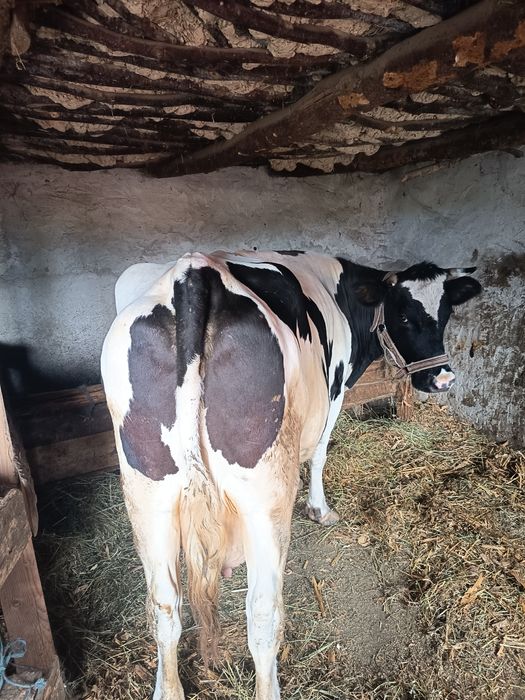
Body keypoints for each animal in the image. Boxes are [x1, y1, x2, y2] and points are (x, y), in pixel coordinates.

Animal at [101, 251, 481, 700]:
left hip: (148, 494)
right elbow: (320, 452)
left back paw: (166, 683)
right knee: (263, 612)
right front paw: (321, 509)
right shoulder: (335, 392)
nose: (443, 379)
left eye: (445, 314)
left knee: (164, 604)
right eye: (403, 315)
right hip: (266, 498)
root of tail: (194, 272)